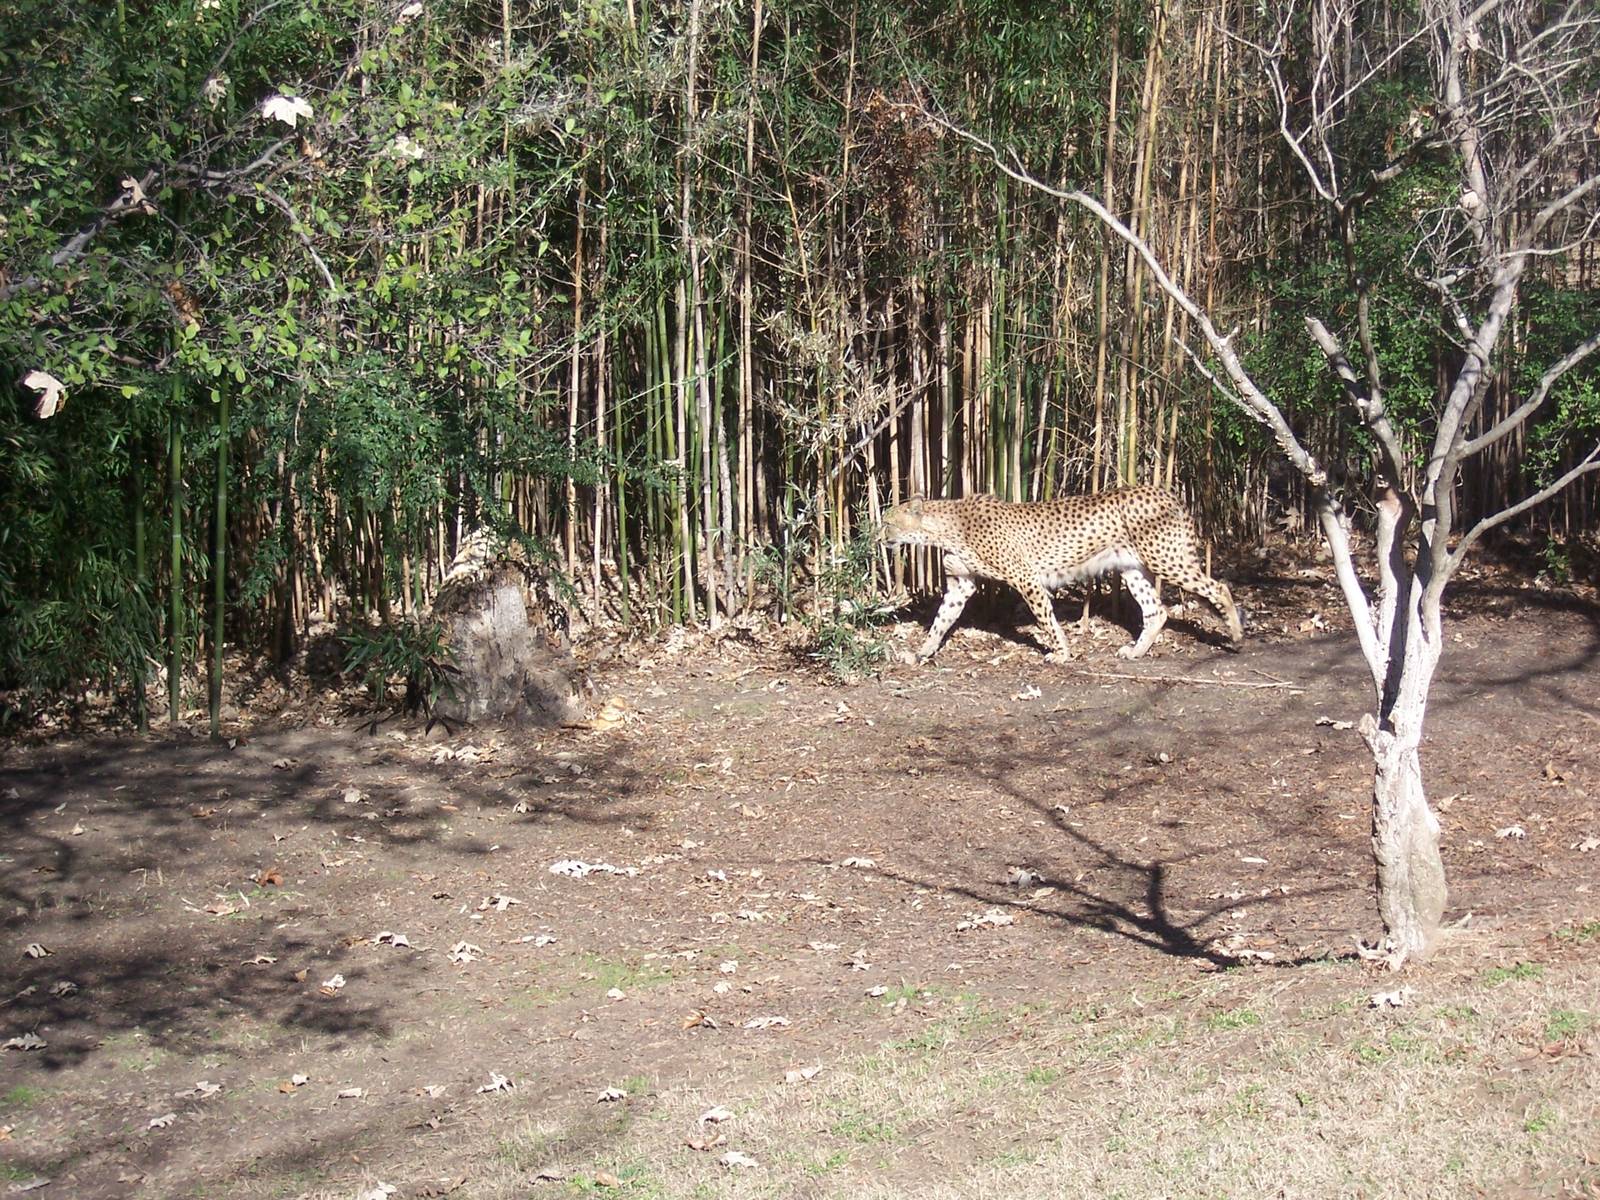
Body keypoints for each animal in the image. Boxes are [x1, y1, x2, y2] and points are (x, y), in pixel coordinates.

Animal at [881, 486, 1243, 663]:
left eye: (888, 521)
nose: (878, 535)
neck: (944, 527)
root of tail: (1166, 493)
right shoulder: (962, 583)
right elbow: (941, 621)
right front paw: (923, 651)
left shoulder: (1025, 577)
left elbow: (1046, 620)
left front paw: (1062, 653)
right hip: (1131, 567)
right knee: (1156, 611)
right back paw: (1136, 652)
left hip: (1166, 558)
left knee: (1218, 587)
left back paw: (1237, 634)